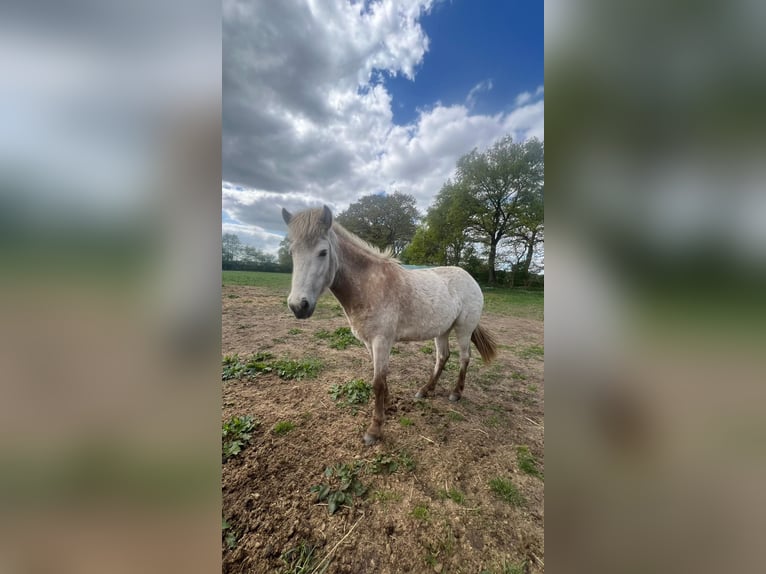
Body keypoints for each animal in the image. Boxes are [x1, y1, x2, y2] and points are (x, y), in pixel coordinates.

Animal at [281, 205, 497, 445]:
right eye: (292, 252)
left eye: (322, 252)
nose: (298, 306)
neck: (370, 286)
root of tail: (470, 278)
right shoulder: (370, 343)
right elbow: (382, 379)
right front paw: (388, 406)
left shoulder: (381, 341)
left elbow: (377, 382)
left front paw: (374, 430)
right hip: (441, 330)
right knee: (443, 357)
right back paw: (425, 390)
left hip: (463, 329)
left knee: (464, 358)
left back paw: (456, 393)